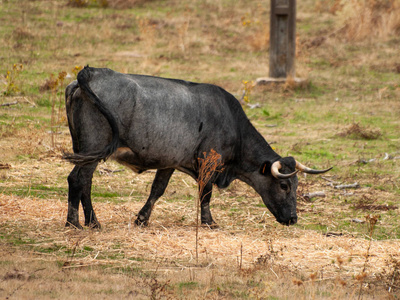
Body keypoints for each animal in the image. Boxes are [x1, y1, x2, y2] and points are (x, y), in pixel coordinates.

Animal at [63, 67, 332, 229]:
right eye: (285, 185)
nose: (293, 219)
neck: (231, 120)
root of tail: (91, 73)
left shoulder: (169, 162)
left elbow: (157, 190)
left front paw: (142, 219)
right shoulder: (209, 162)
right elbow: (206, 193)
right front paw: (209, 222)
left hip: (86, 151)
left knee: (85, 182)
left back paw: (91, 222)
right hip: (93, 150)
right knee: (78, 179)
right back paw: (76, 223)